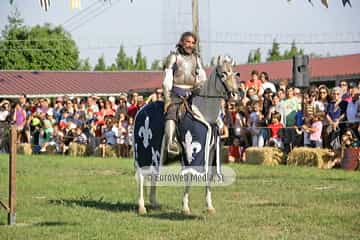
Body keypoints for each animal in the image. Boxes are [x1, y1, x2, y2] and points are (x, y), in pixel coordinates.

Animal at [134, 55, 238, 216]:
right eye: (223, 74)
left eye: (234, 73)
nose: (235, 94)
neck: (204, 111)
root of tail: (141, 109)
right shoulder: (190, 153)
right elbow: (189, 176)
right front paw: (185, 207)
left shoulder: (210, 153)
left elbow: (207, 176)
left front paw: (209, 206)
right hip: (144, 152)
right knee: (141, 176)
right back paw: (141, 207)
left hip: (159, 155)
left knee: (155, 174)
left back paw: (154, 202)